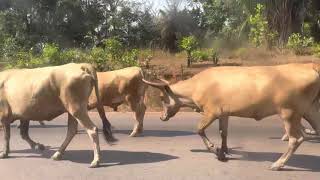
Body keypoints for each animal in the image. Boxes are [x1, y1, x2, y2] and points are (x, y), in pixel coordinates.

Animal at [142, 63, 320, 170]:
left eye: (162, 98)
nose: (162, 117)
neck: (197, 85)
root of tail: (311, 68)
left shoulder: (211, 112)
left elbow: (199, 129)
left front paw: (216, 151)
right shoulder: (224, 113)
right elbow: (223, 132)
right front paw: (224, 149)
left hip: (289, 113)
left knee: (296, 139)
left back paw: (278, 163)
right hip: (310, 110)